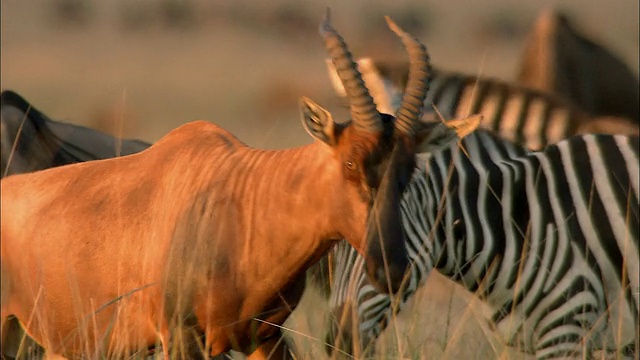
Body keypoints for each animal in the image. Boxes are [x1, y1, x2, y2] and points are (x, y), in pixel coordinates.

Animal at [0, 11, 476, 360]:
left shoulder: (265, 338)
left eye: (409, 169)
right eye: (351, 161)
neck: (245, 195)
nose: (391, 271)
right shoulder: (181, 337)